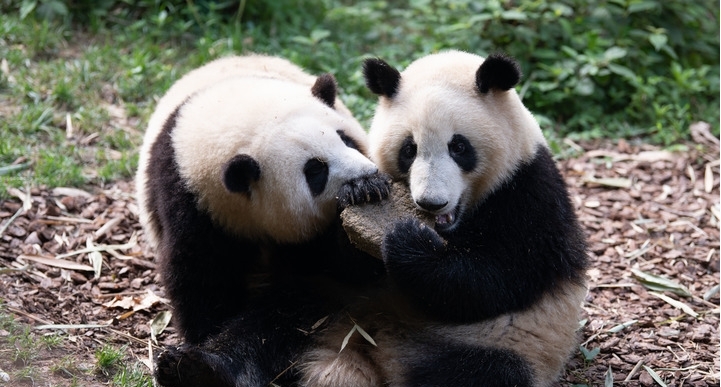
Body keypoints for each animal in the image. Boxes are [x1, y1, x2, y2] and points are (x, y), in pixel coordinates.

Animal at [296, 50, 584, 387]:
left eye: (459, 147)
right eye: (409, 149)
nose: (431, 202)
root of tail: (382, 360)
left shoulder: (529, 192)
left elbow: (495, 279)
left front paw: (408, 243)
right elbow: (350, 265)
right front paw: (362, 193)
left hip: (503, 345)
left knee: (483, 372)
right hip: (333, 312)